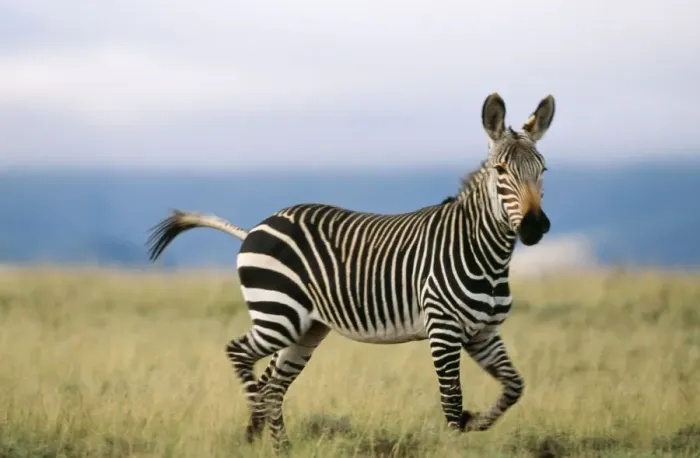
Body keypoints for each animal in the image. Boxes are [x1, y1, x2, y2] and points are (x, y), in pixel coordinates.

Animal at [147, 92, 555, 450]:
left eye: (543, 170)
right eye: (501, 171)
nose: (534, 227)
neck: (486, 257)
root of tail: (255, 228)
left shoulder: (483, 333)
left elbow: (514, 387)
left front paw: (476, 420)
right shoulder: (444, 330)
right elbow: (452, 402)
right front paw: (459, 440)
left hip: (305, 328)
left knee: (273, 385)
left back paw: (281, 446)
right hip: (278, 314)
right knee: (241, 355)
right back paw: (256, 427)